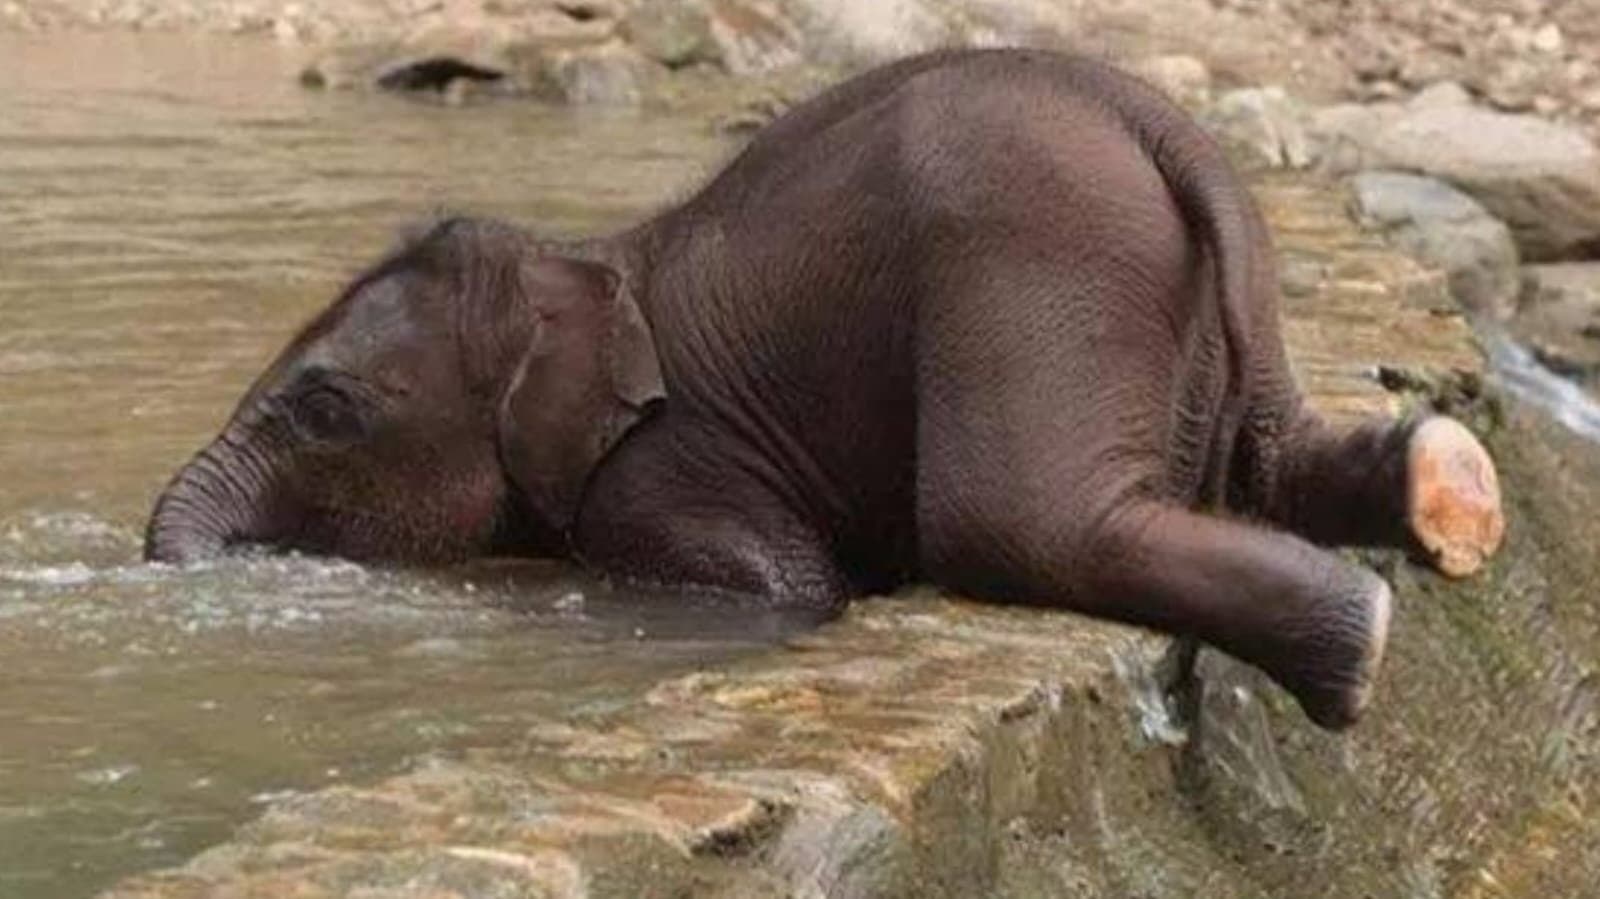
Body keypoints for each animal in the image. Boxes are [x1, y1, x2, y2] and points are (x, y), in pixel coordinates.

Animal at [146, 48, 1504, 730]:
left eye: (324, 409)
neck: (584, 261)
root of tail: (1161, 124)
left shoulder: (668, 477)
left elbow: (780, 587)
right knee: (1269, 457)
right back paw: (1444, 490)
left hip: (1031, 263)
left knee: (1015, 522)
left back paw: (1355, 648)